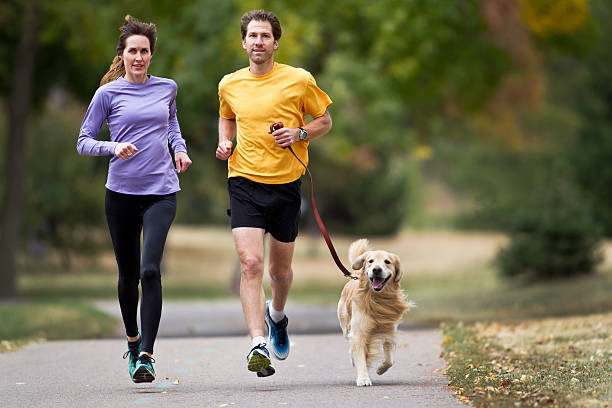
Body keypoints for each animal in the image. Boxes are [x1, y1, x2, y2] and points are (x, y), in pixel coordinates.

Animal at [338, 239, 414, 386]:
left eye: (387, 262)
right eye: (370, 261)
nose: (376, 269)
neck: (376, 299)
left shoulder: (389, 329)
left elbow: (390, 360)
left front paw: (380, 369)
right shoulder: (359, 332)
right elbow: (360, 356)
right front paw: (363, 378)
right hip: (345, 324)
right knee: (350, 342)